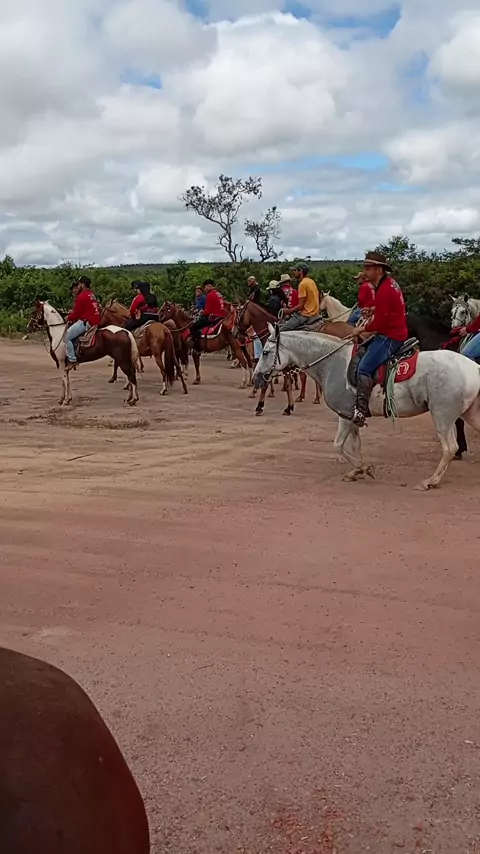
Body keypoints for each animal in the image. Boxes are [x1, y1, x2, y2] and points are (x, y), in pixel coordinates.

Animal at [253, 324, 480, 491]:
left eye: (265, 352)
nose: (257, 378)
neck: (332, 362)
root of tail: (473, 367)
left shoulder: (345, 415)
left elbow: (338, 445)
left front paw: (364, 468)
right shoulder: (353, 417)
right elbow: (355, 446)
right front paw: (357, 470)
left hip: (442, 416)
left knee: (450, 448)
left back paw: (430, 481)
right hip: (467, 414)